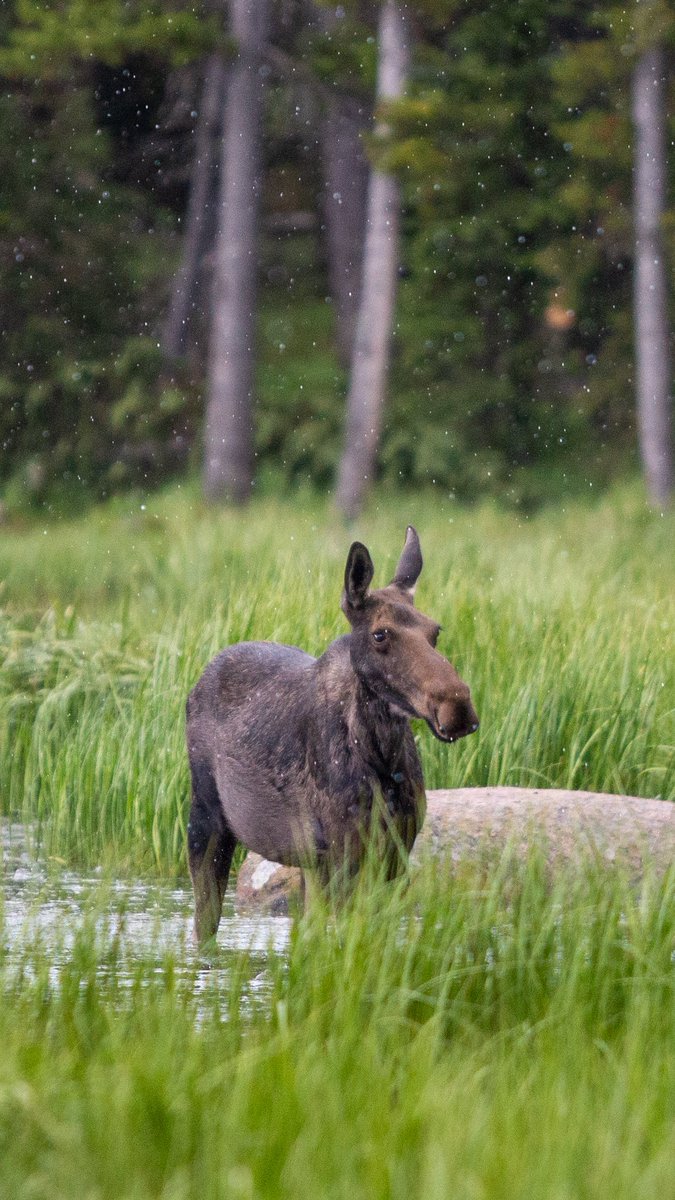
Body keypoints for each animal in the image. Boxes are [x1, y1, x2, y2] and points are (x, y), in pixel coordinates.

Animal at [186, 526, 479, 943]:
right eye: (380, 634)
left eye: (435, 631)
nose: (457, 707)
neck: (381, 756)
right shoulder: (342, 853)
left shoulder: (395, 853)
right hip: (207, 818)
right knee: (204, 921)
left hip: (308, 862)